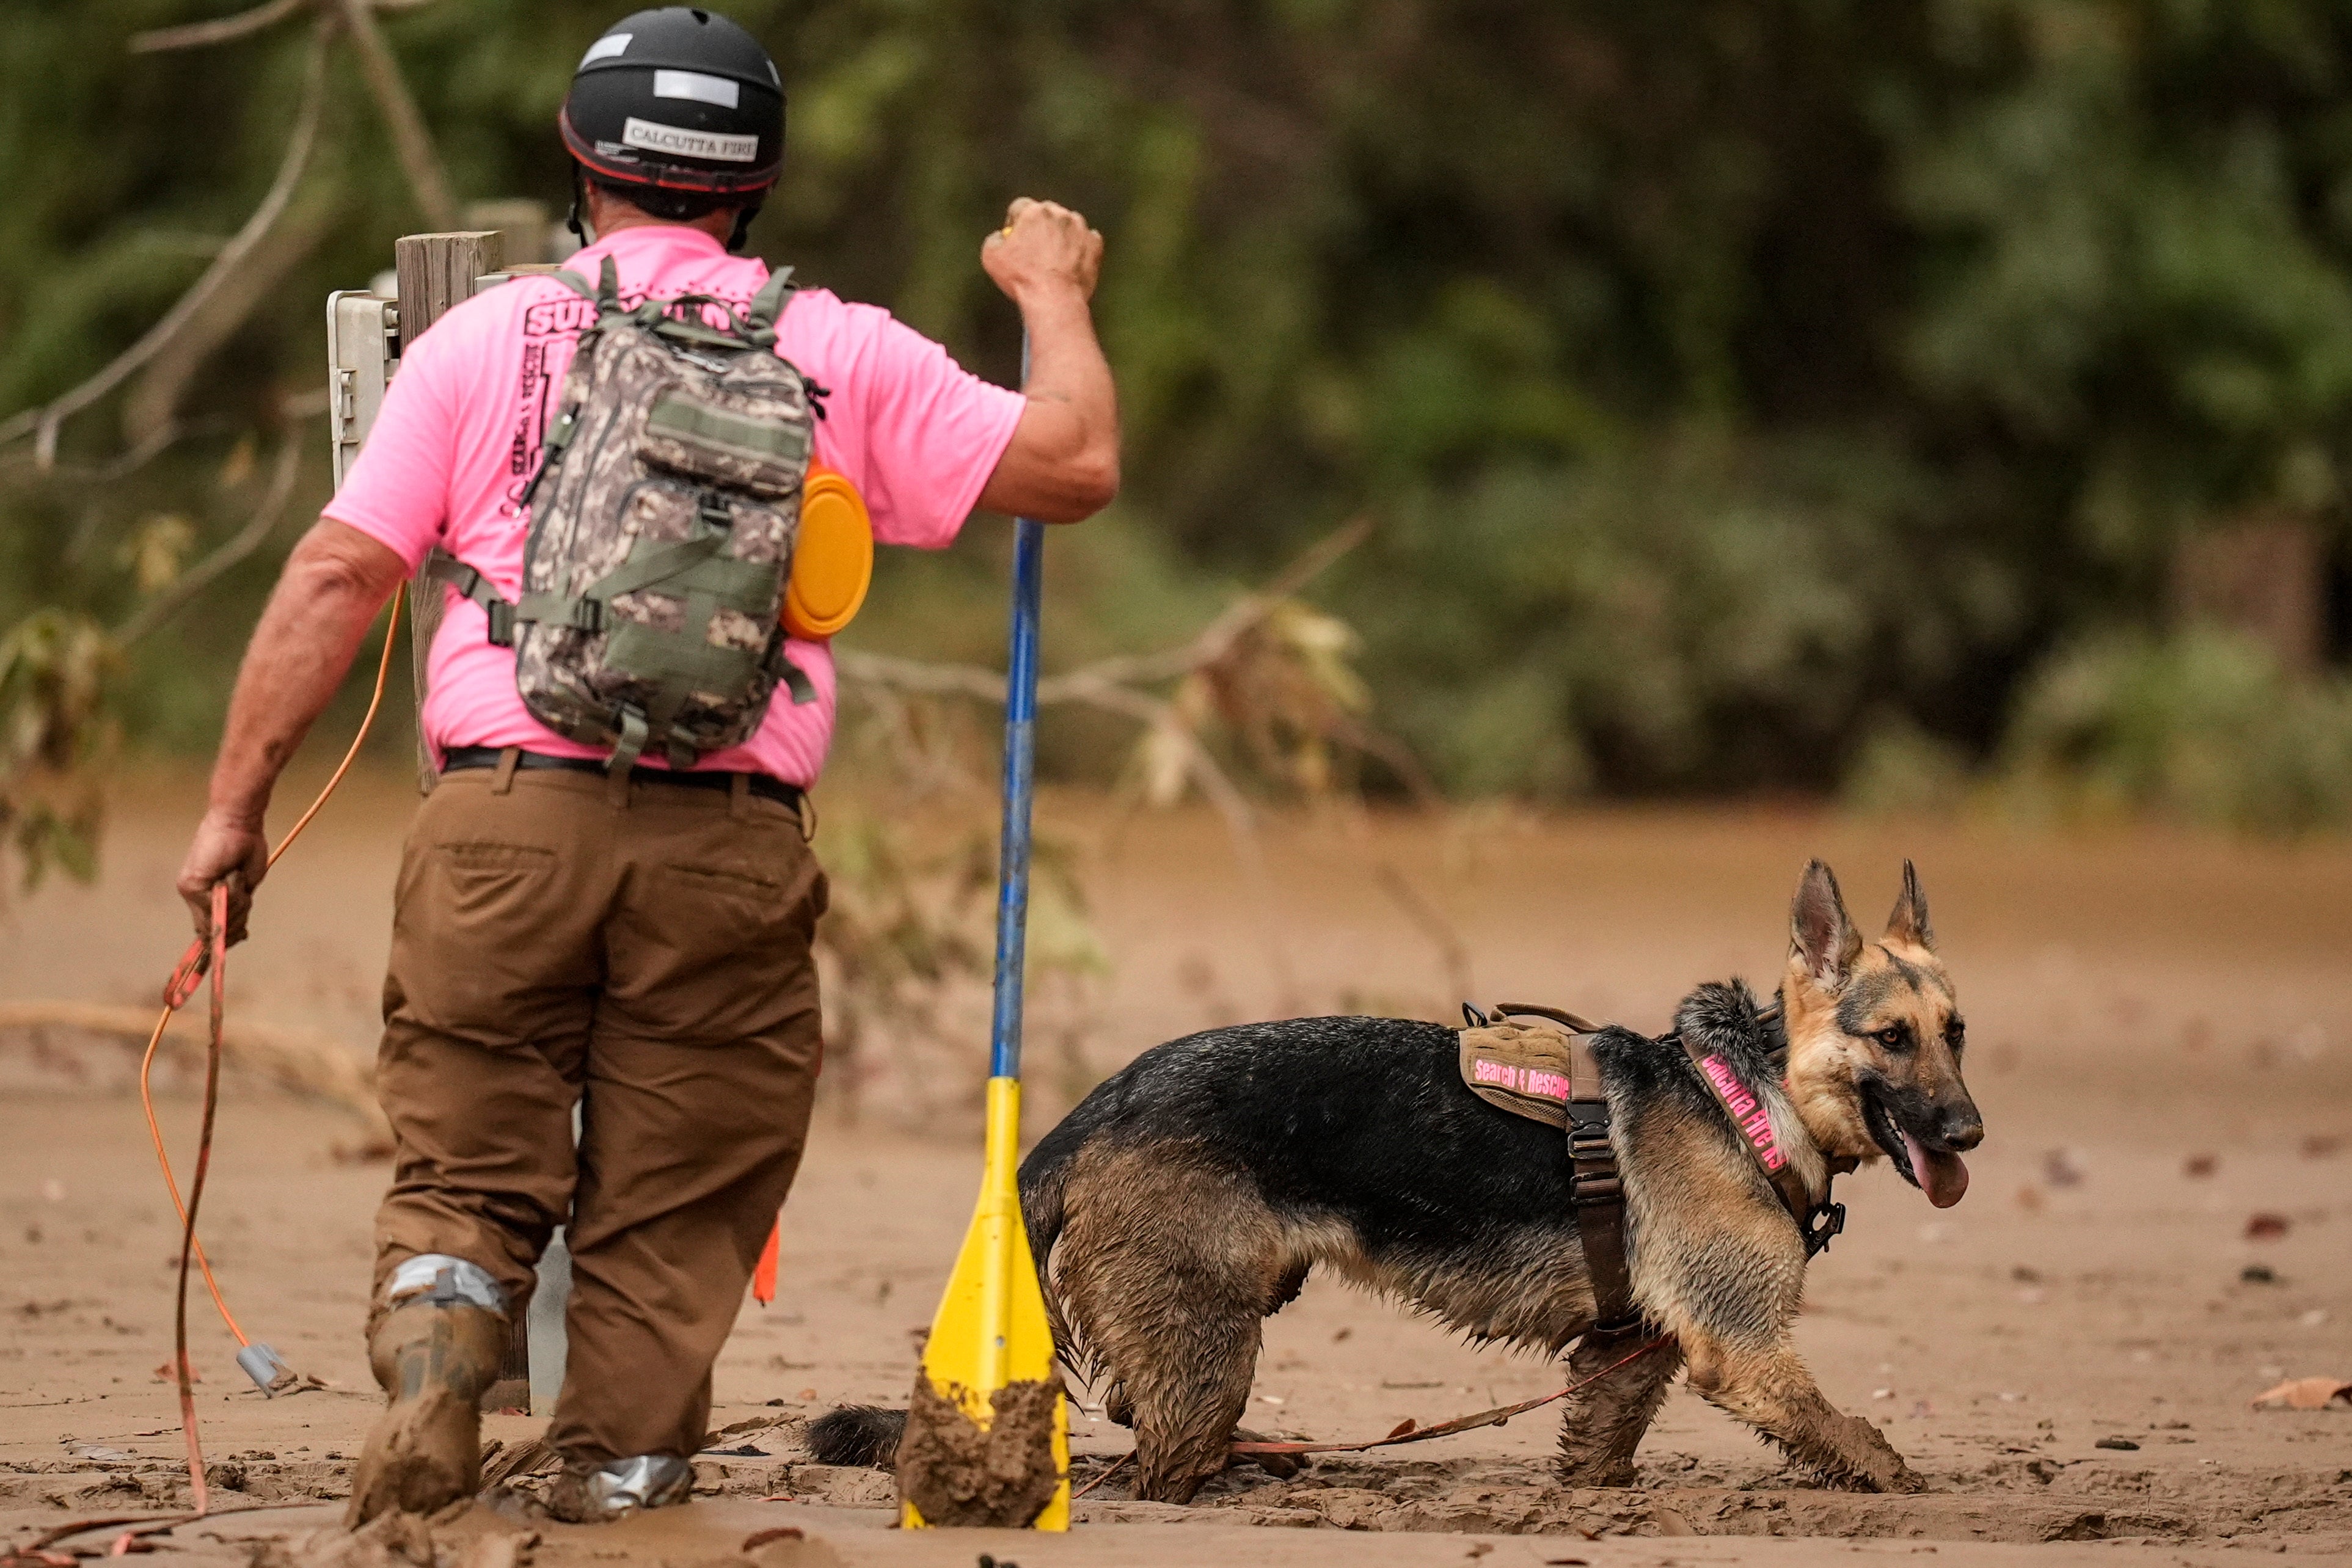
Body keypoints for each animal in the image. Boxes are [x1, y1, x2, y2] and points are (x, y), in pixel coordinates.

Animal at [818, 865, 1976, 1504]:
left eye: (1956, 1033)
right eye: (1891, 1038)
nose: (1970, 1129)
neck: (1751, 1092)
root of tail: (1092, 1107)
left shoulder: (1628, 1353)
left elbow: (1599, 1446)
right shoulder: (1743, 1353)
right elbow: (1857, 1436)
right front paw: (1913, 1488)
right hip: (1209, 1349)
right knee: (1154, 1467)